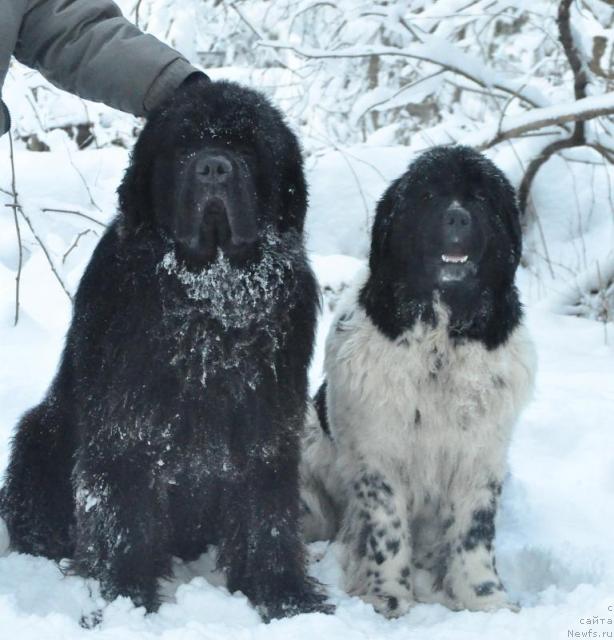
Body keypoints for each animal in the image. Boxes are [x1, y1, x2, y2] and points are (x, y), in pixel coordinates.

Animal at [0, 79, 332, 620]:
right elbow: (122, 518)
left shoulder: (266, 427)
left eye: (248, 147)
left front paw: (287, 599)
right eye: (184, 146)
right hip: (39, 433)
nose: (214, 167)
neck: (209, 304)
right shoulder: (126, 425)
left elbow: (267, 519)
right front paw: (126, 600)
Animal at [300, 145, 536, 616]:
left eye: (481, 199)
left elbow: (474, 533)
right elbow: (385, 530)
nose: (457, 218)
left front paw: (486, 600)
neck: (442, 338)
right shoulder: (379, 455)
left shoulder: (480, 455)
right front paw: (388, 597)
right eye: (428, 196)